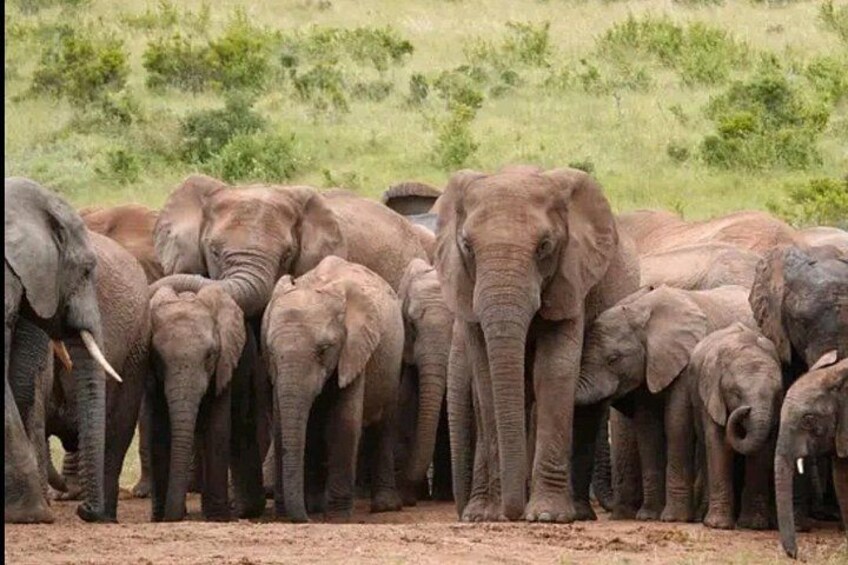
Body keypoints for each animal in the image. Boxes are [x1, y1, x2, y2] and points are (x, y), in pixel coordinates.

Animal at [146, 285, 265, 522]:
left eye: (210, 355)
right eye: (157, 357)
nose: (175, 516)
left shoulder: (224, 365)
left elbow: (217, 429)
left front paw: (218, 518)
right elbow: (158, 431)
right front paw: (159, 517)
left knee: (241, 427)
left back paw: (244, 511)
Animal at [261, 256, 404, 522]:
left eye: (324, 350)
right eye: (271, 351)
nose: (303, 519)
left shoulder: (354, 350)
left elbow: (343, 423)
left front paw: (337, 518)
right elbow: (281, 424)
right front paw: (299, 510)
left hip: (393, 363)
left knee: (384, 425)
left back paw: (383, 506)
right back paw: (316, 505)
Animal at [434, 165, 640, 523]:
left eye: (544, 246)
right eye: (467, 246)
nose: (513, 512)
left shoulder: (572, 278)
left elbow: (553, 370)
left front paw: (546, 516)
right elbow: (486, 378)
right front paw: (488, 516)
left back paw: (578, 513)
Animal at [575, 284, 757, 521]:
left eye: (613, 359)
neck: (641, 312)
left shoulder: (683, 361)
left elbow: (676, 422)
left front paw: (673, 518)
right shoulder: (648, 369)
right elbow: (648, 428)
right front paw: (648, 516)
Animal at [684, 323, 783, 530]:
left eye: (778, 394)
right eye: (736, 393)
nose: (745, 410)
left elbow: (762, 450)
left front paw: (754, 525)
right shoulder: (712, 396)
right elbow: (719, 444)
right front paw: (717, 525)